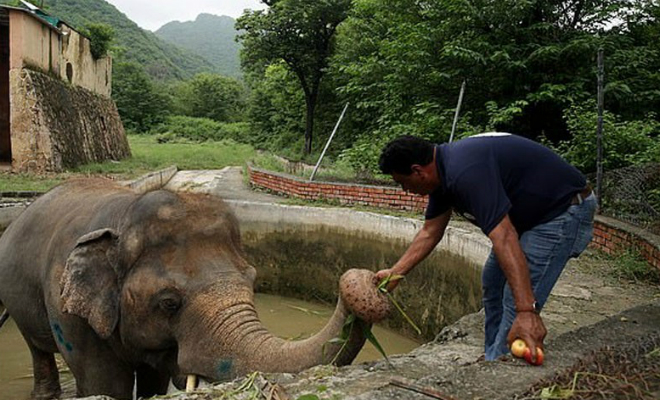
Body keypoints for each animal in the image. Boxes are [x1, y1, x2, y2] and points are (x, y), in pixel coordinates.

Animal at [0, 180, 386, 398]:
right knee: (36, 348)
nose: (372, 279)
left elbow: (154, 382)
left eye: (253, 280)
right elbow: (106, 386)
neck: (124, 213)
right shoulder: (68, 311)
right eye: (169, 303)